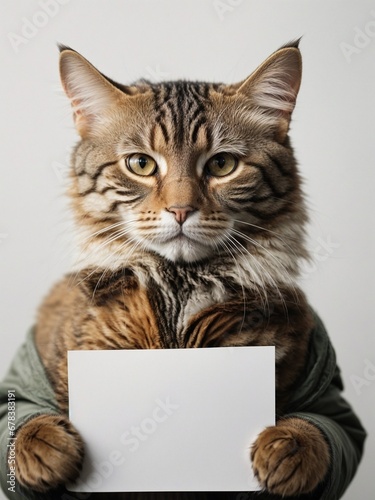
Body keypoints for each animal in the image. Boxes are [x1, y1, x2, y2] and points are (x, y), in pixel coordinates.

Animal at [15, 41, 332, 498]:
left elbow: (316, 423)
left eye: (222, 165)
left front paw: (291, 448)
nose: (181, 210)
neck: (180, 285)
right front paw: (42, 445)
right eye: (141, 165)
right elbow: (28, 411)